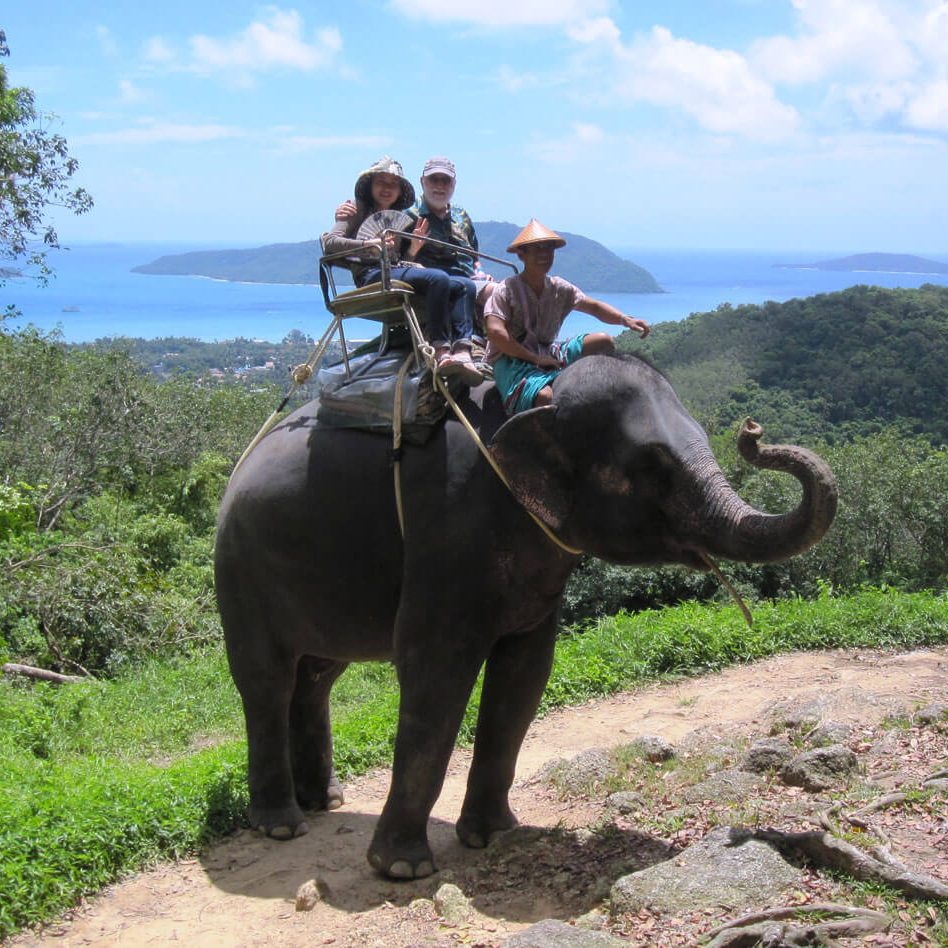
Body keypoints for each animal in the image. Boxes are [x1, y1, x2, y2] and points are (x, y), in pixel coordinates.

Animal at [214, 351, 837, 880]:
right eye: (651, 465)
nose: (753, 432)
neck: (539, 398)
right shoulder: (448, 527)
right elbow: (435, 676)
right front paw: (403, 869)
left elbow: (526, 673)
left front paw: (494, 837)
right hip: (240, 569)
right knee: (266, 680)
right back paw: (282, 825)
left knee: (317, 675)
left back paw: (326, 801)